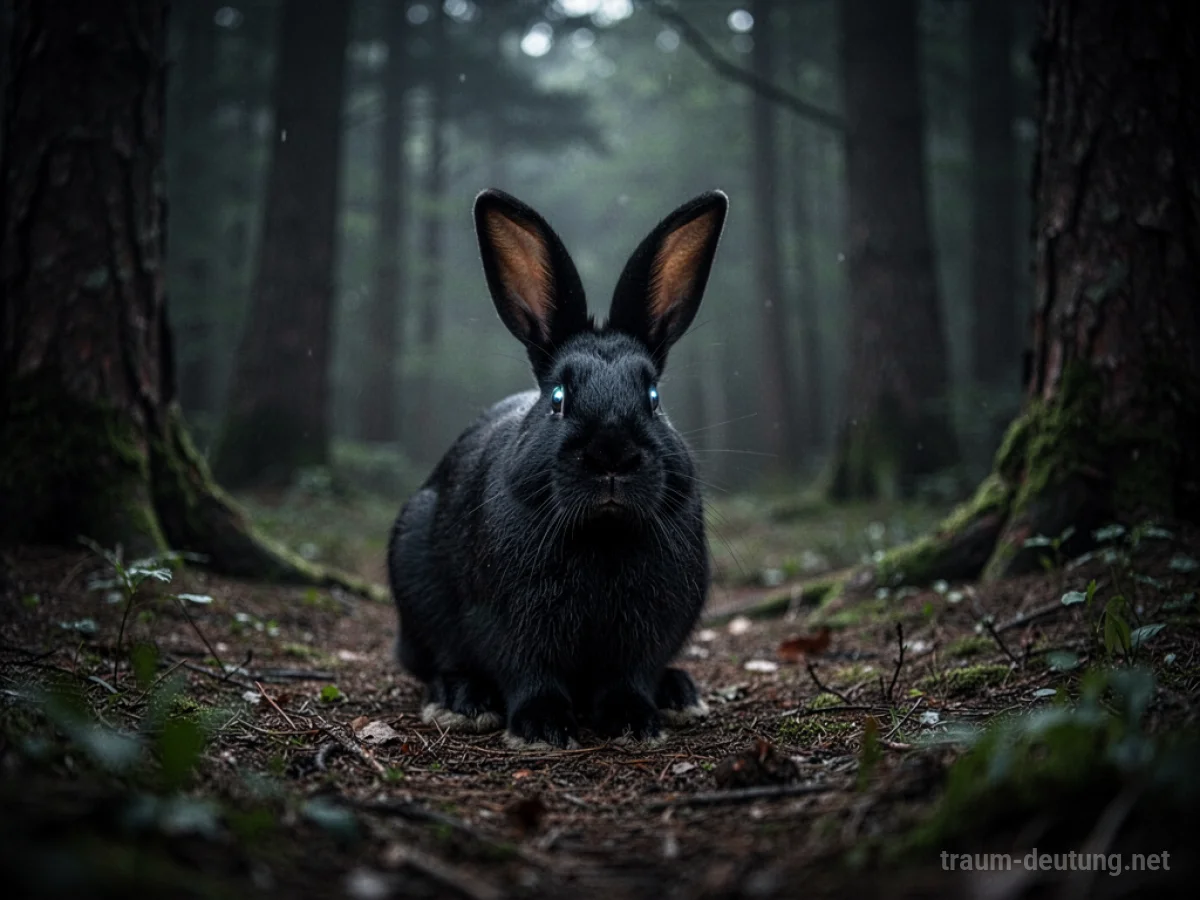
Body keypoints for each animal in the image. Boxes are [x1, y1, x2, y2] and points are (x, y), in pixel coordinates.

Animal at [388, 188, 728, 748]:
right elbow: (529, 672)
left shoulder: (649, 630)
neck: (601, 536)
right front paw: (542, 727)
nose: (611, 454)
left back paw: (679, 693)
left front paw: (634, 721)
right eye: (558, 399)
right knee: (435, 661)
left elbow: (630, 675)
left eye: (654, 398)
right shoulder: (509, 622)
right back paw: (462, 700)